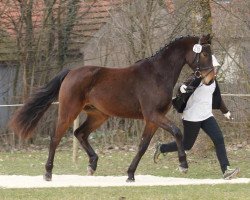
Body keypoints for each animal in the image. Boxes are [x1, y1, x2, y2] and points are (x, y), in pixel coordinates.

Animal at [8, 35, 215, 182]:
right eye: (204, 54)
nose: (210, 79)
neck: (157, 74)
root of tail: (71, 72)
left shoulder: (152, 120)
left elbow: (143, 145)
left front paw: (130, 174)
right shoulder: (153, 115)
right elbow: (177, 132)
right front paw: (183, 165)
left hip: (99, 115)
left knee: (80, 133)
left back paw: (92, 165)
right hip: (68, 112)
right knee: (55, 138)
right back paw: (48, 173)